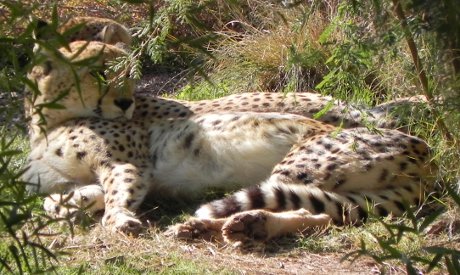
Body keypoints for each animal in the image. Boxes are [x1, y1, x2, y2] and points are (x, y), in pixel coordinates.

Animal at [23, 40, 436, 244]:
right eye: (97, 73)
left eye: (128, 74)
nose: (126, 102)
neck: (49, 122)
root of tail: (426, 156)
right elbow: (54, 199)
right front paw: (74, 205)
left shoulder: (125, 163)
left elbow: (116, 197)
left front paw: (118, 221)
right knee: (331, 215)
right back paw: (240, 227)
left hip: (299, 162)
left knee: (308, 210)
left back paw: (214, 226)